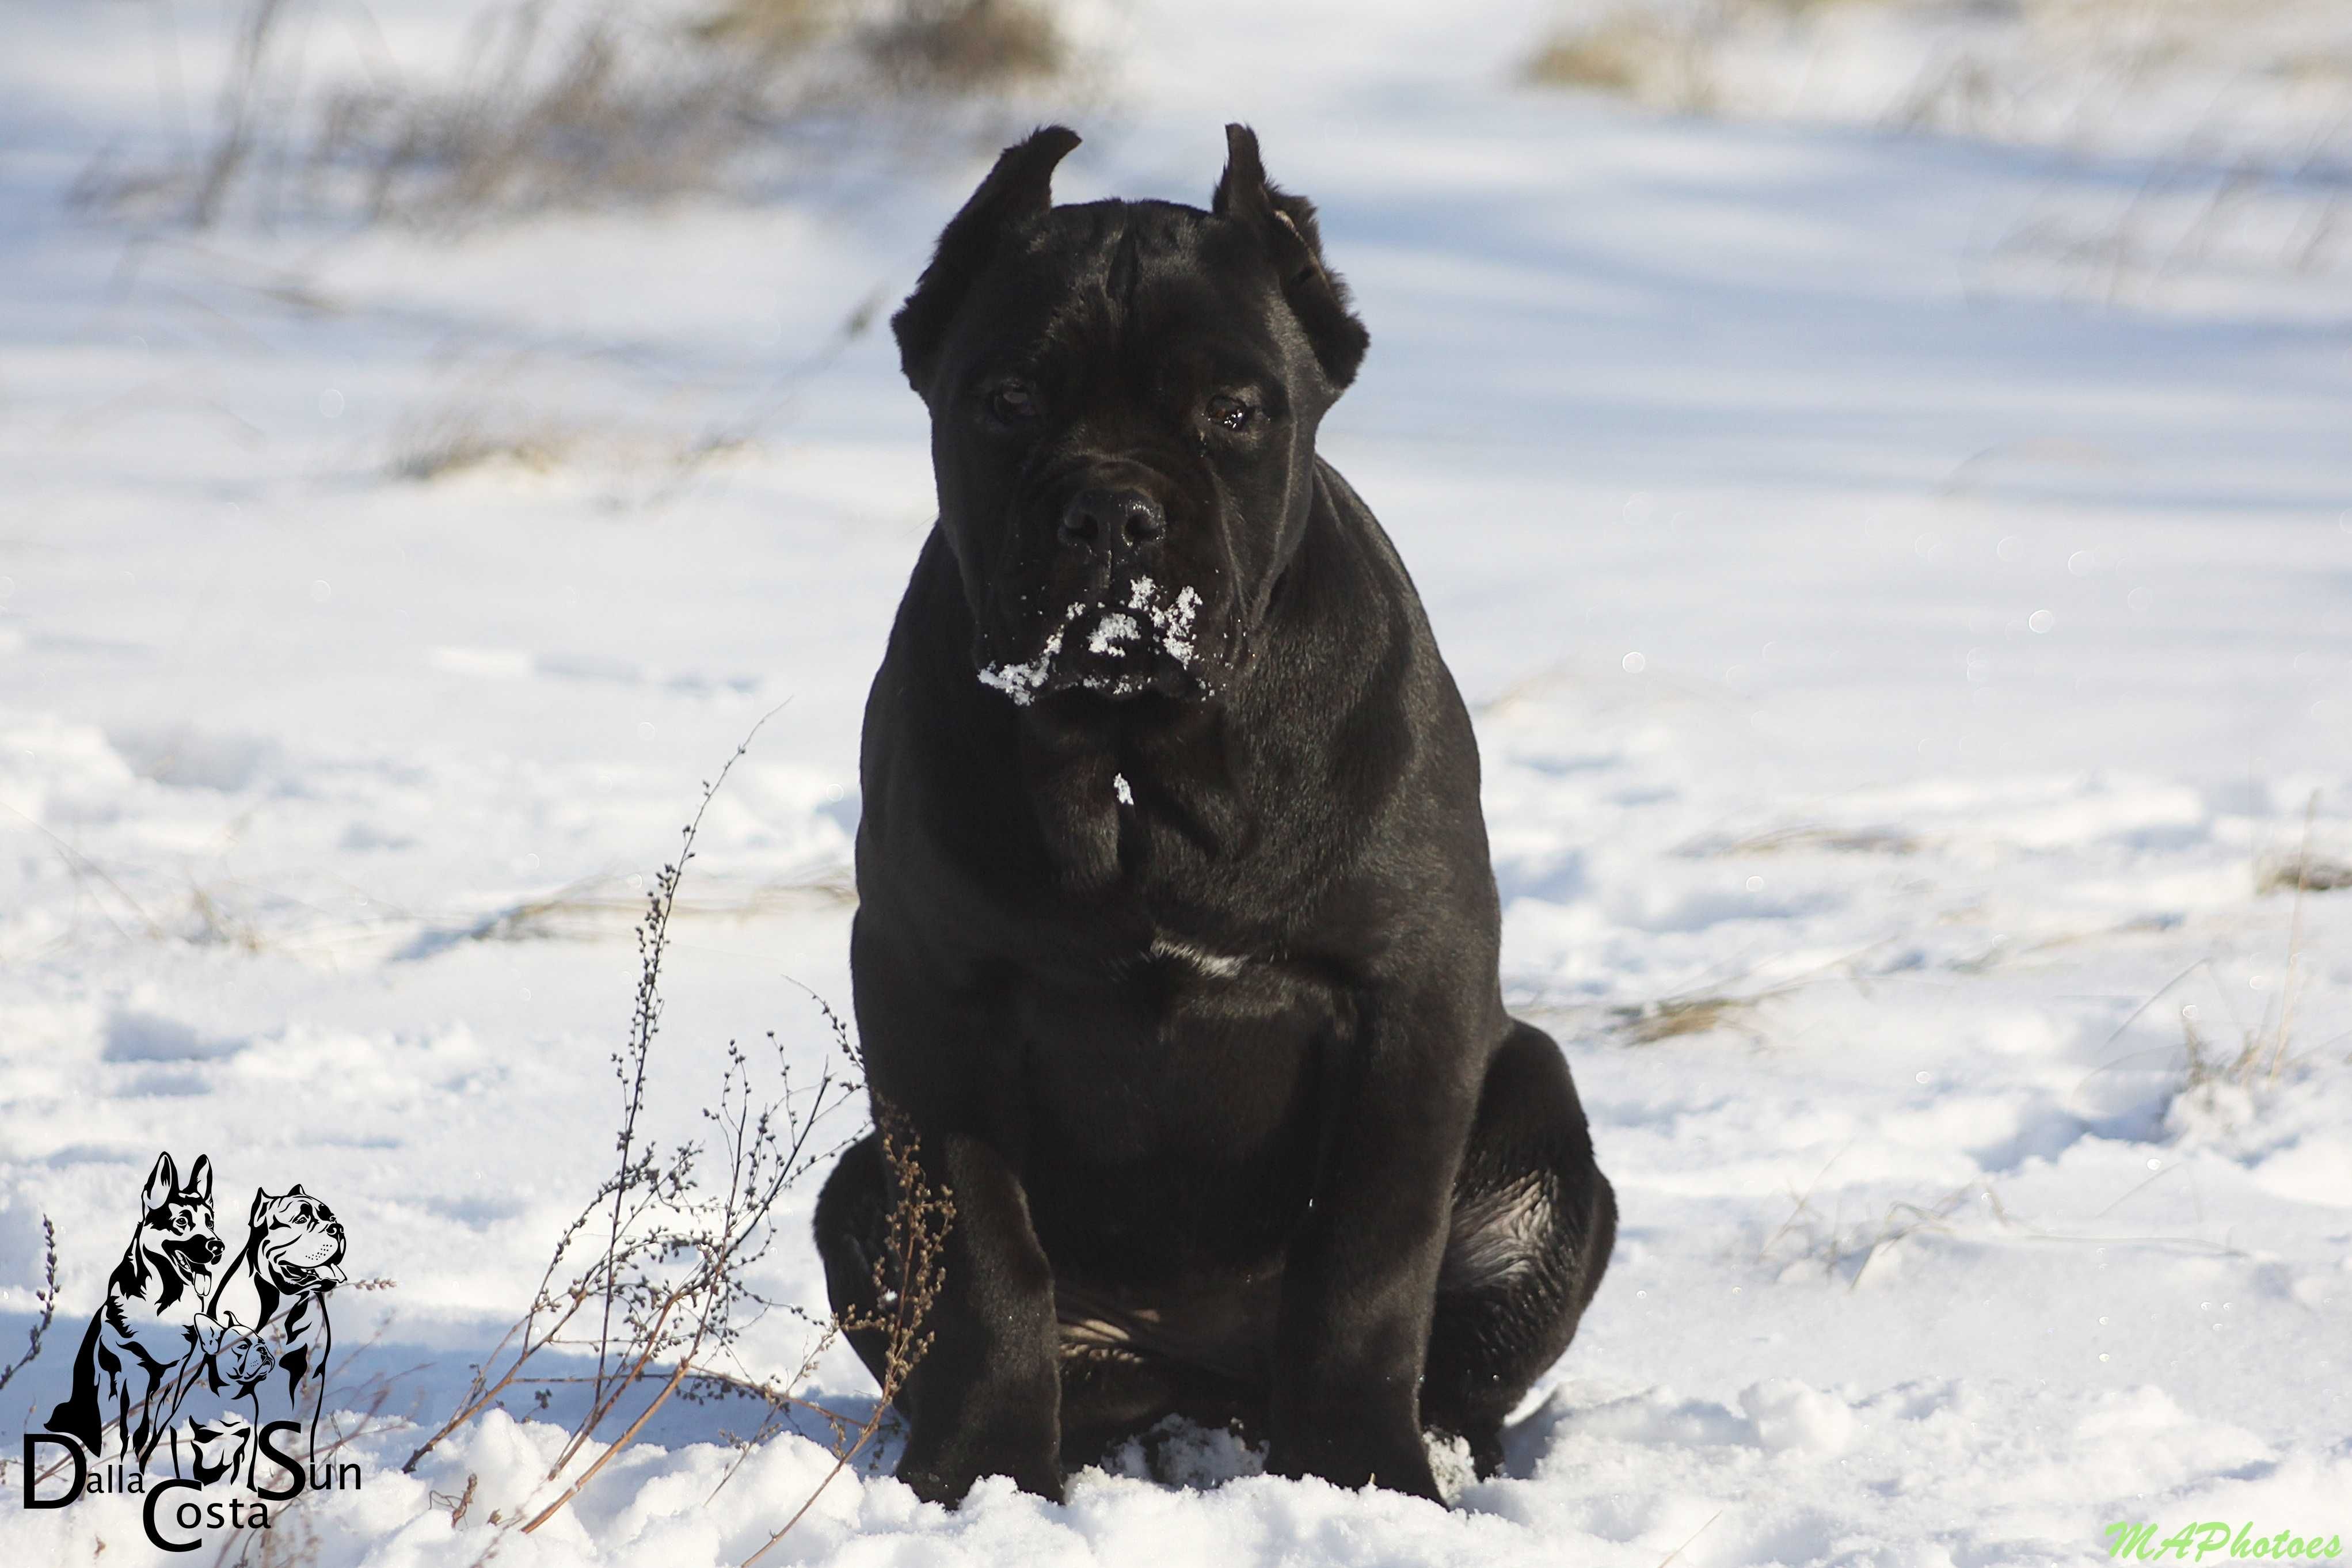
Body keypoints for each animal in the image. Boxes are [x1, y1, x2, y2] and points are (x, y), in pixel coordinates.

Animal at [813, 125, 1618, 1504]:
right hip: (856, 1185)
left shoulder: (1407, 992)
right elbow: (982, 1259)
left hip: (1542, 1132)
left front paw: (1361, 1478)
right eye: (1008, 398)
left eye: (1235, 413)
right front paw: (976, 1477)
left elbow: (1366, 1262)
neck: (1137, 760)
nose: (1110, 512)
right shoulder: (928, 989)